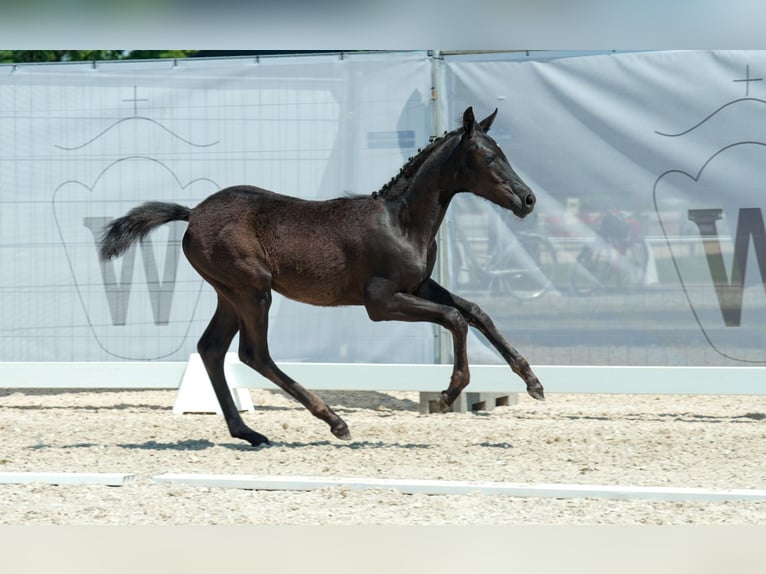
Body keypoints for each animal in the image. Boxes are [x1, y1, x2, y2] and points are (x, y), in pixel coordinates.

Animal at [102, 109, 544, 450]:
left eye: (502, 153)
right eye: (488, 156)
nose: (527, 199)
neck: (401, 222)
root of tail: (192, 213)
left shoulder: (418, 285)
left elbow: (475, 311)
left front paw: (533, 382)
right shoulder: (380, 301)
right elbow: (454, 319)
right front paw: (451, 391)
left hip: (228, 294)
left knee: (211, 348)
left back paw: (249, 433)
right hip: (252, 291)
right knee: (253, 354)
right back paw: (334, 421)